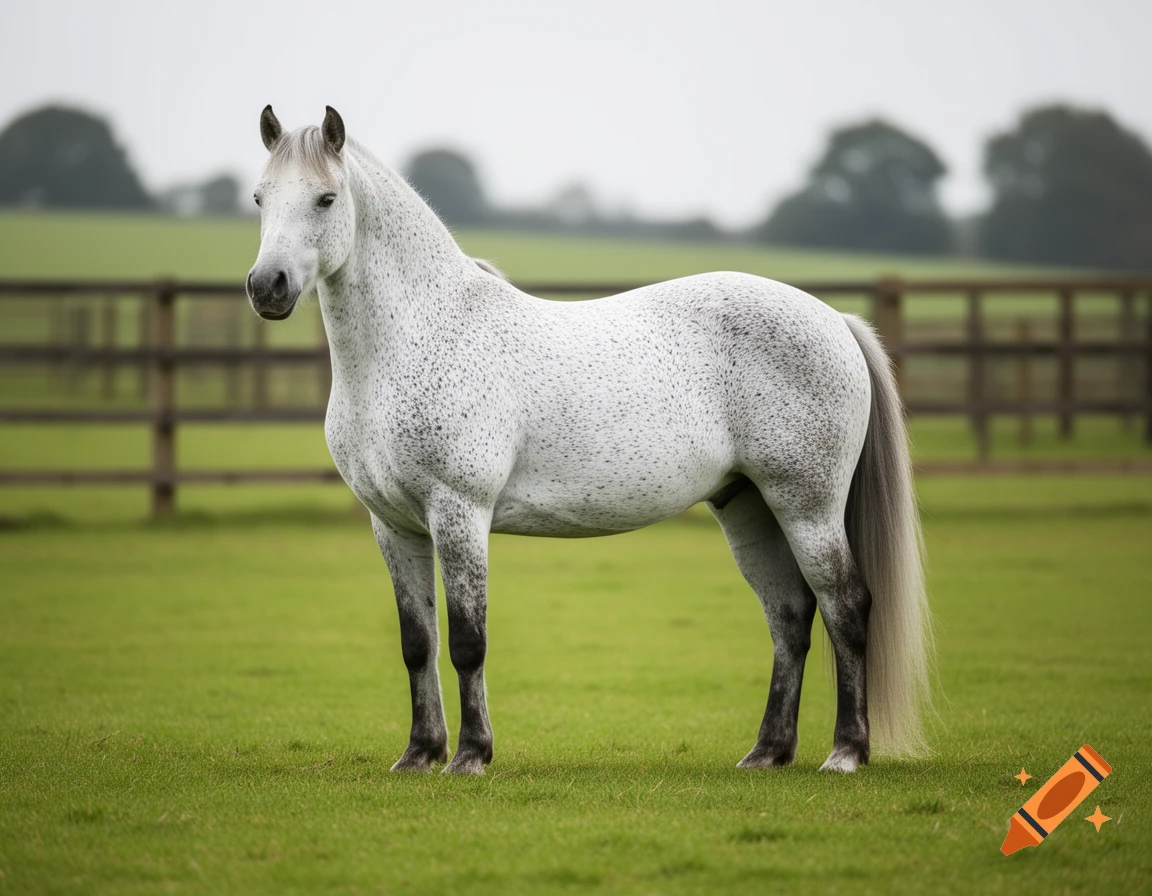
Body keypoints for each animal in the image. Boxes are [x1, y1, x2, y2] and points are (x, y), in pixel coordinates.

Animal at [246, 106, 932, 775]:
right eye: (259, 196)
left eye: (327, 198)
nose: (266, 287)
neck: (416, 336)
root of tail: (833, 320)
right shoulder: (393, 524)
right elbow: (419, 643)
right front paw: (419, 754)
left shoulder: (459, 512)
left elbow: (468, 642)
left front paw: (470, 756)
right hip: (750, 506)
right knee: (790, 616)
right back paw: (767, 753)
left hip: (808, 506)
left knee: (846, 606)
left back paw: (846, 753)